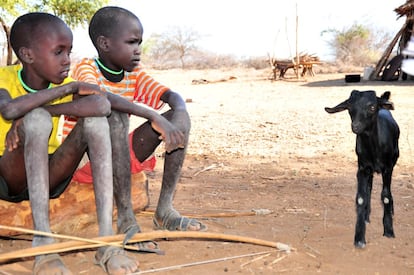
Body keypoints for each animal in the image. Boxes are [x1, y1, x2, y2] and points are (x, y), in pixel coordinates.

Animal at [326, 89, 400, 249]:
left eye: (372, 107)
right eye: (349, 108)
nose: (356, 126)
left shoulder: (388, 168)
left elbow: (386, 196)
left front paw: (389, 231)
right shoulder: (362, 168)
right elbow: (361, 197)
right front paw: (359, 237)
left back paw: (391, 211)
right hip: (369, 171)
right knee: (369, 189)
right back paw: (367, 216)